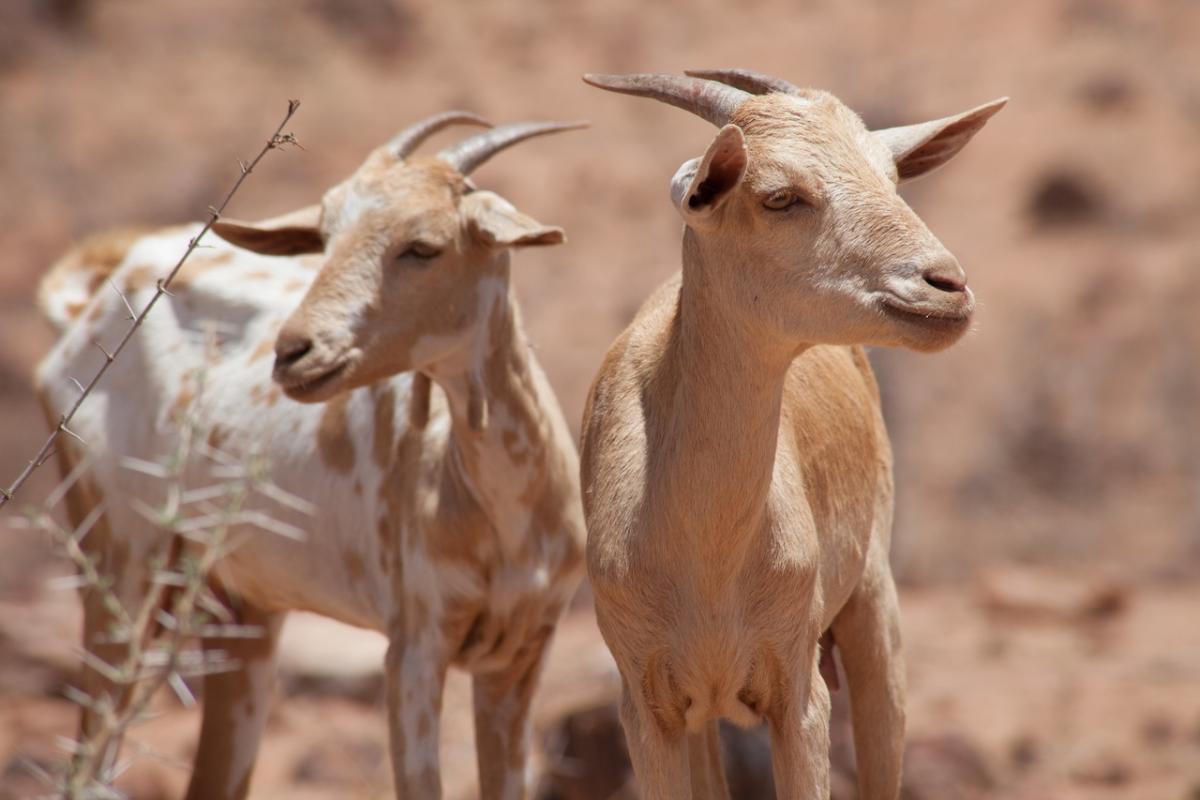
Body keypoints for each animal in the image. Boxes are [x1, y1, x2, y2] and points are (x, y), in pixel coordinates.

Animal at [35, 112, 587, 800]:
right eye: (325, 237)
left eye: (424, 247)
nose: (294, 352)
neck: (503, 513)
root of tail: (85, 308)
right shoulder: (415, 645)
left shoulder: (520, 655)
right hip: (122, 564)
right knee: (88, 758)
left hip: (237, 609)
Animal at [578, 69, 1005, 799]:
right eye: (780, 196)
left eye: (892, 176)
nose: (945, 286)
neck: (704, 552)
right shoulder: (647, 708)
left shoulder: (799, 696)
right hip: (706, 718)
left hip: (872, 615)